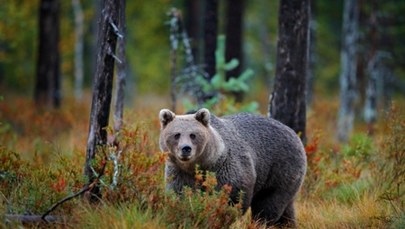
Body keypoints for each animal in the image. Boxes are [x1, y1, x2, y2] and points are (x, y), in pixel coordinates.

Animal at [158, 108, 306, 226]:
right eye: (176, 134)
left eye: (193, 135)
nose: (186, 149)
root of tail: (293, 133)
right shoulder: (179, 171)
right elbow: (179, 193)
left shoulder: (226, 167)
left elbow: (234, 195)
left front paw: (222, 217)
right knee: (286, 209)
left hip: (280, 168)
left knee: (269, 202)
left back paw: (260, 223)